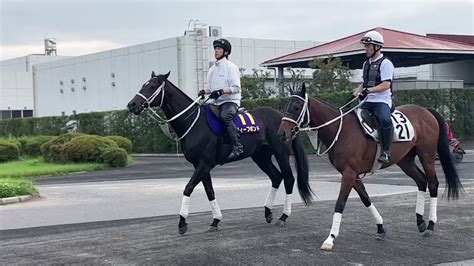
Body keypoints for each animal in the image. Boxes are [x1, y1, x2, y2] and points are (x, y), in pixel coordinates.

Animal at [128, 71, 312, 234]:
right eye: (144, 85)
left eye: (151, 86)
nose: (132, 105)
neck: (194, 122)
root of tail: (285, 119)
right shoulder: (200, 165)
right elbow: (209, 191)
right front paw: (215, 221)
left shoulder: (204, 164)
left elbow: (188, 188)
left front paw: (182, 222)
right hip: (261, 157)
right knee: (276, 177)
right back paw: (268, 213)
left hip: (280, 153)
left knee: (288, 179)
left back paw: (283, 216)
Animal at [278, 84, 462, 251]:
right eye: (286, 106)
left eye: (296, 106)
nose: (282, 133)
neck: (341, 130)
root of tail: (426, 111)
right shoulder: (352, 174)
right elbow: (365, 198)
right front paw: (380, 227)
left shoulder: (349, 173)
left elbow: (340, 203)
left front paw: (330, 238)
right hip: (405, 160)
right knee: (421, 181)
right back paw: (420, 222)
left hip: (427, 155)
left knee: (433, 183)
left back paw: (430, 225)